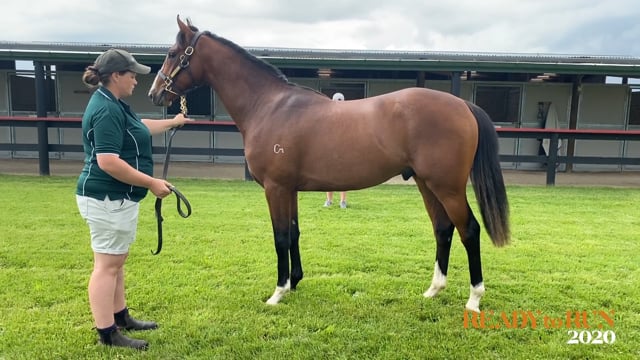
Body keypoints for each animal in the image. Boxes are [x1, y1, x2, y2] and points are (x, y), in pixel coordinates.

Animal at [149, 16, 510, 312]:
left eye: (172, 53)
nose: (154, 94)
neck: (269, 105)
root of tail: (462, 104)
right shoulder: (289, 189)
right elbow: (294, 232)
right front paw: (295, 282)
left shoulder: (275, 188)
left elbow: (281, 236)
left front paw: (278, 292)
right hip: (426, 184)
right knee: (443, 229)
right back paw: (434, 289)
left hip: (447, 187)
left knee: (469, 230)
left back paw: (474, 298)